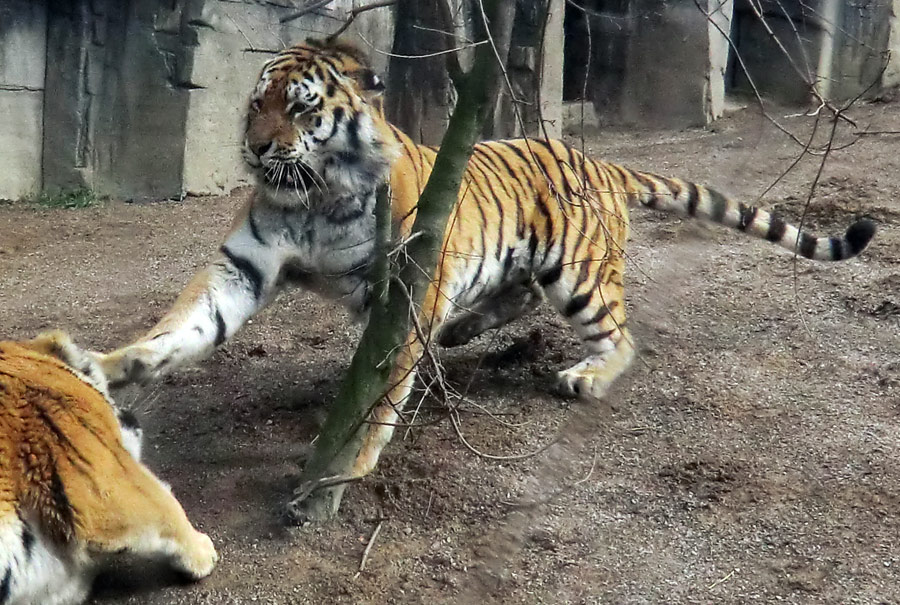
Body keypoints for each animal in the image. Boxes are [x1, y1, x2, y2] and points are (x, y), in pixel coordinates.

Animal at [91, 37, 872, 510]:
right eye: (257, 101)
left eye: (301, 106)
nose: (255, 149)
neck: (317, 192)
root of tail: (599, 160)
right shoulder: (245, 264)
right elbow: (184, 323)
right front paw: (116, 364)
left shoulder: (407, 288)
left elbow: (382, 391)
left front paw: (346, 469)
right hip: (520, 266)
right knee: (512, 300)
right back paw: (461, 332)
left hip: (576, 274)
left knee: (619, 335)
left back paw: (584, 375)